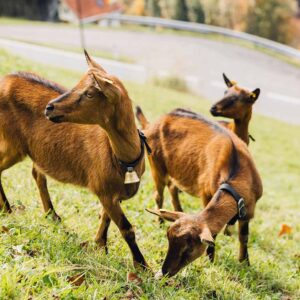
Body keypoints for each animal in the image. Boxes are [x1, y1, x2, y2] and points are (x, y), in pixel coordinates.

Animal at [0, 52, 150, 270]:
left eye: (89, 93)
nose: (49, 108)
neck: (124, 159)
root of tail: (6, 79)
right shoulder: (103, 189)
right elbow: (126, 229)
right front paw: (142, 266)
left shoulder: (112, 194)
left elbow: (105, 218)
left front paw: (100, 247)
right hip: (12, 144)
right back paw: (8, 209)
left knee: (37, 174)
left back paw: (52, 216)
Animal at [139, 108, 262, 276]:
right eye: (168, 238)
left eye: (188, 249)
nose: (164, 272)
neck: (237, 173)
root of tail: (152, 123)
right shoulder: (206, 194)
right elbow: (214, 235)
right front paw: (210, 260)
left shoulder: (249, 210)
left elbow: (243, 237)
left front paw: (245, 264)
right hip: (156, 165)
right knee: (159, 194)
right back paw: (160, 221)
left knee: (172, 187)